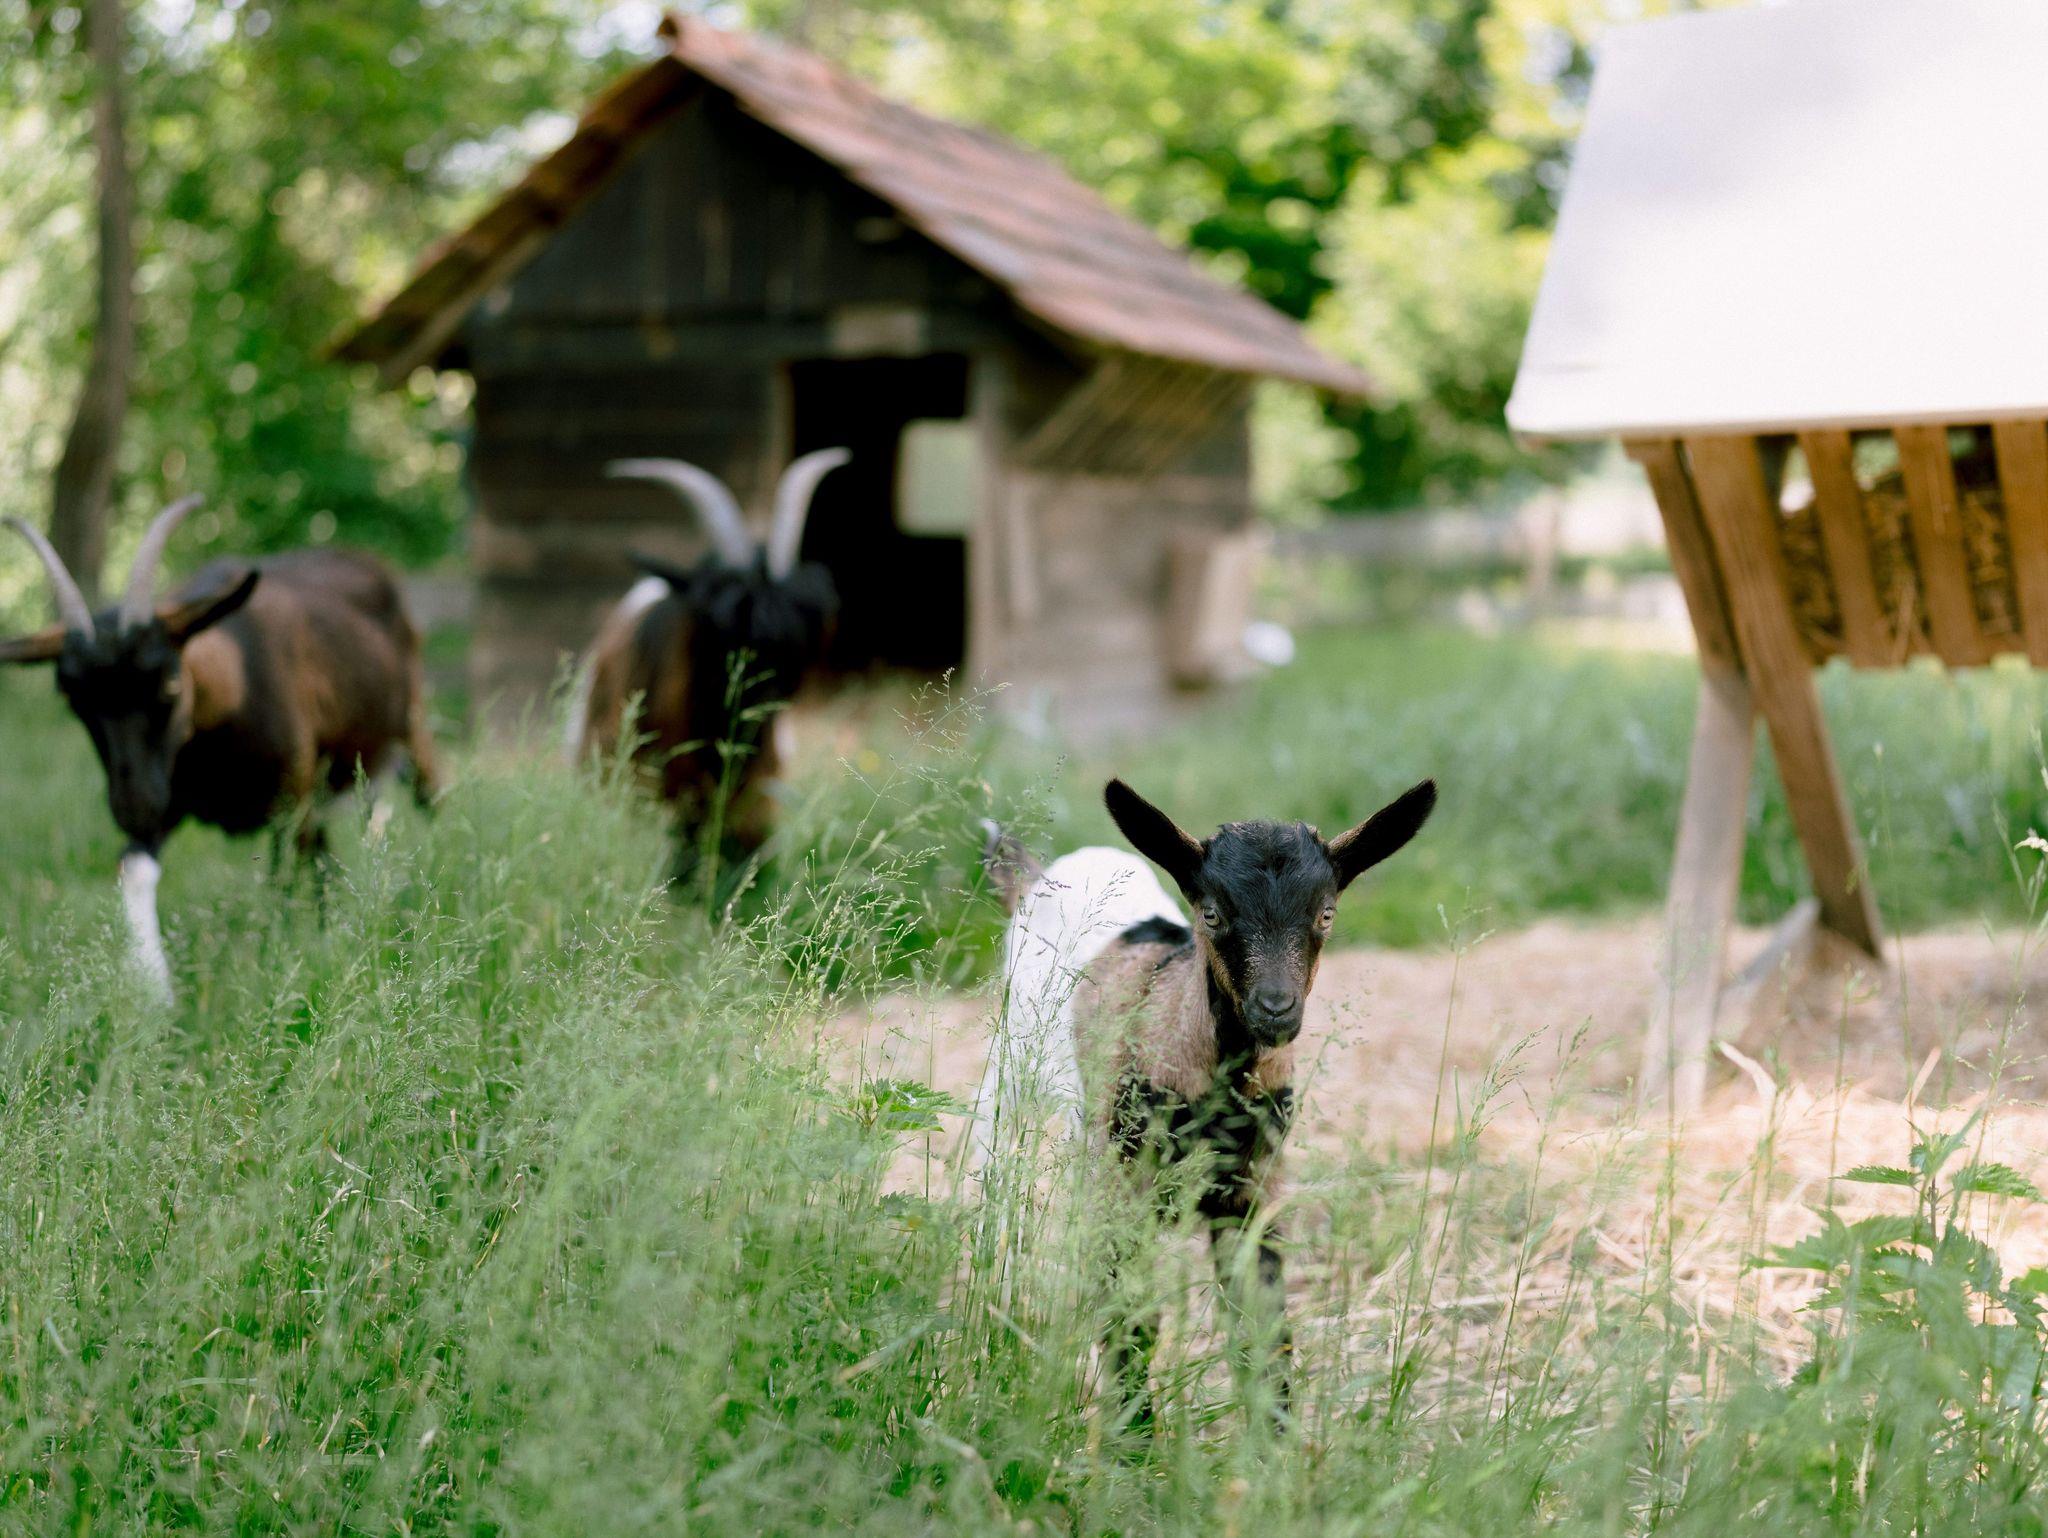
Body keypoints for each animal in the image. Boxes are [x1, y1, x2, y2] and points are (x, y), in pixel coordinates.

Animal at [1, 498, 440, 997]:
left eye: (170, 682)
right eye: (73, 698)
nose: (133, 807)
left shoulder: (290, 796)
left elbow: (282, 879)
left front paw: (281, 958)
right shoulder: (172, 794)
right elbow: (134, 868)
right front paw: (156, 994)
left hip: (410, 729)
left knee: (426, 799)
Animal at [975, 775, 1438, 1429]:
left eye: (1325, 913)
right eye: (1212, 913)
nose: (1276, 1008)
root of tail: (1036, 873)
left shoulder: (1253, 1184)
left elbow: (1263, 1324)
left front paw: (1274, 1444)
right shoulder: (1120, 1179)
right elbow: (1132, 1318)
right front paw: (1133, 1443)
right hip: (1011, 1063)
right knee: (994, 1182)